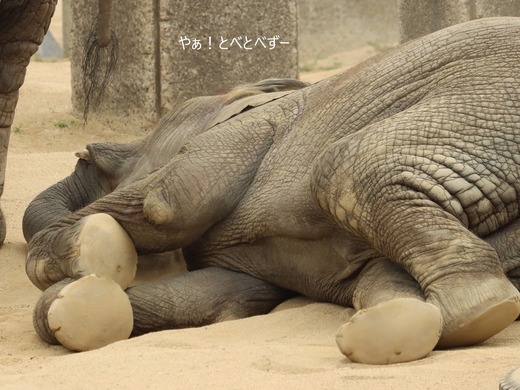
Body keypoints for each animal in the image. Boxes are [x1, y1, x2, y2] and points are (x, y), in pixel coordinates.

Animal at [22, 17, 520, 366]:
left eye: (126, 159)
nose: (86, 152)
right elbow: (216, 292)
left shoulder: (247, 133)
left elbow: (170, 204)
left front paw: (95, 247)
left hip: (485, 99)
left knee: (346, 169)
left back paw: (480, 312)